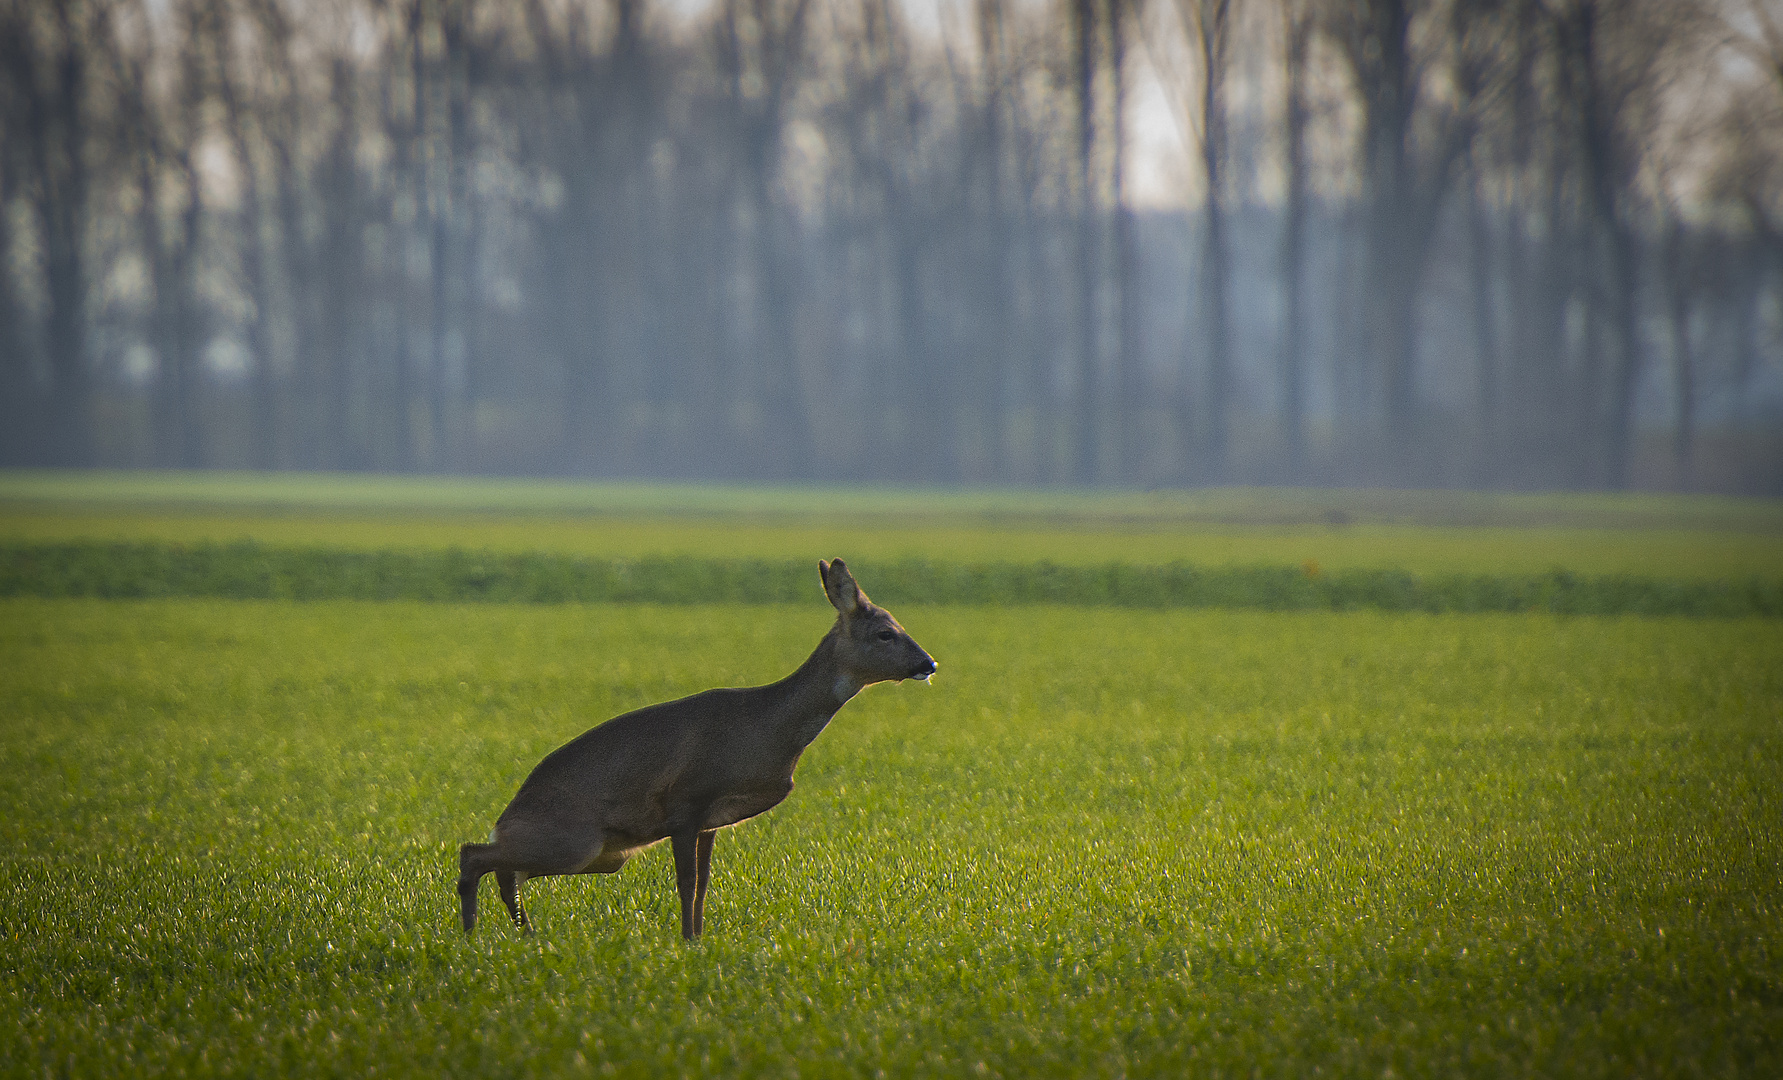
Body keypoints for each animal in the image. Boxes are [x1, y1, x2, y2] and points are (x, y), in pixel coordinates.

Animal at [456, 563, 934, 940]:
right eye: (886, 633)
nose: (928, 664)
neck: (766, 729)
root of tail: (505, 818)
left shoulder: (711, 821)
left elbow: (703, 885)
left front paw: (699, 937)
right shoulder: (686, 800)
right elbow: (686, 883)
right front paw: (687, 939)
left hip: (600, 856)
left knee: (504, 870)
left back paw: (523, 933)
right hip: (578, 842)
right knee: (473, 854)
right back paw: (472, 932)